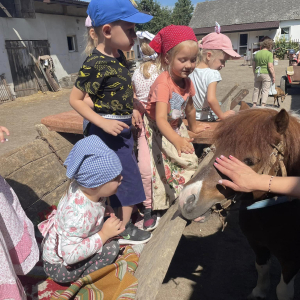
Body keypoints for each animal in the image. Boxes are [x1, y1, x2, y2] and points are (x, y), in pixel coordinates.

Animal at [178, 108, 300, 300]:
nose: (186, 199)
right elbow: (261, 268)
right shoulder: (257, 244)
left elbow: (283, 291)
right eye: (217, 148)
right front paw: (259, 292)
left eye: (250, 161)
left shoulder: (291, 259)